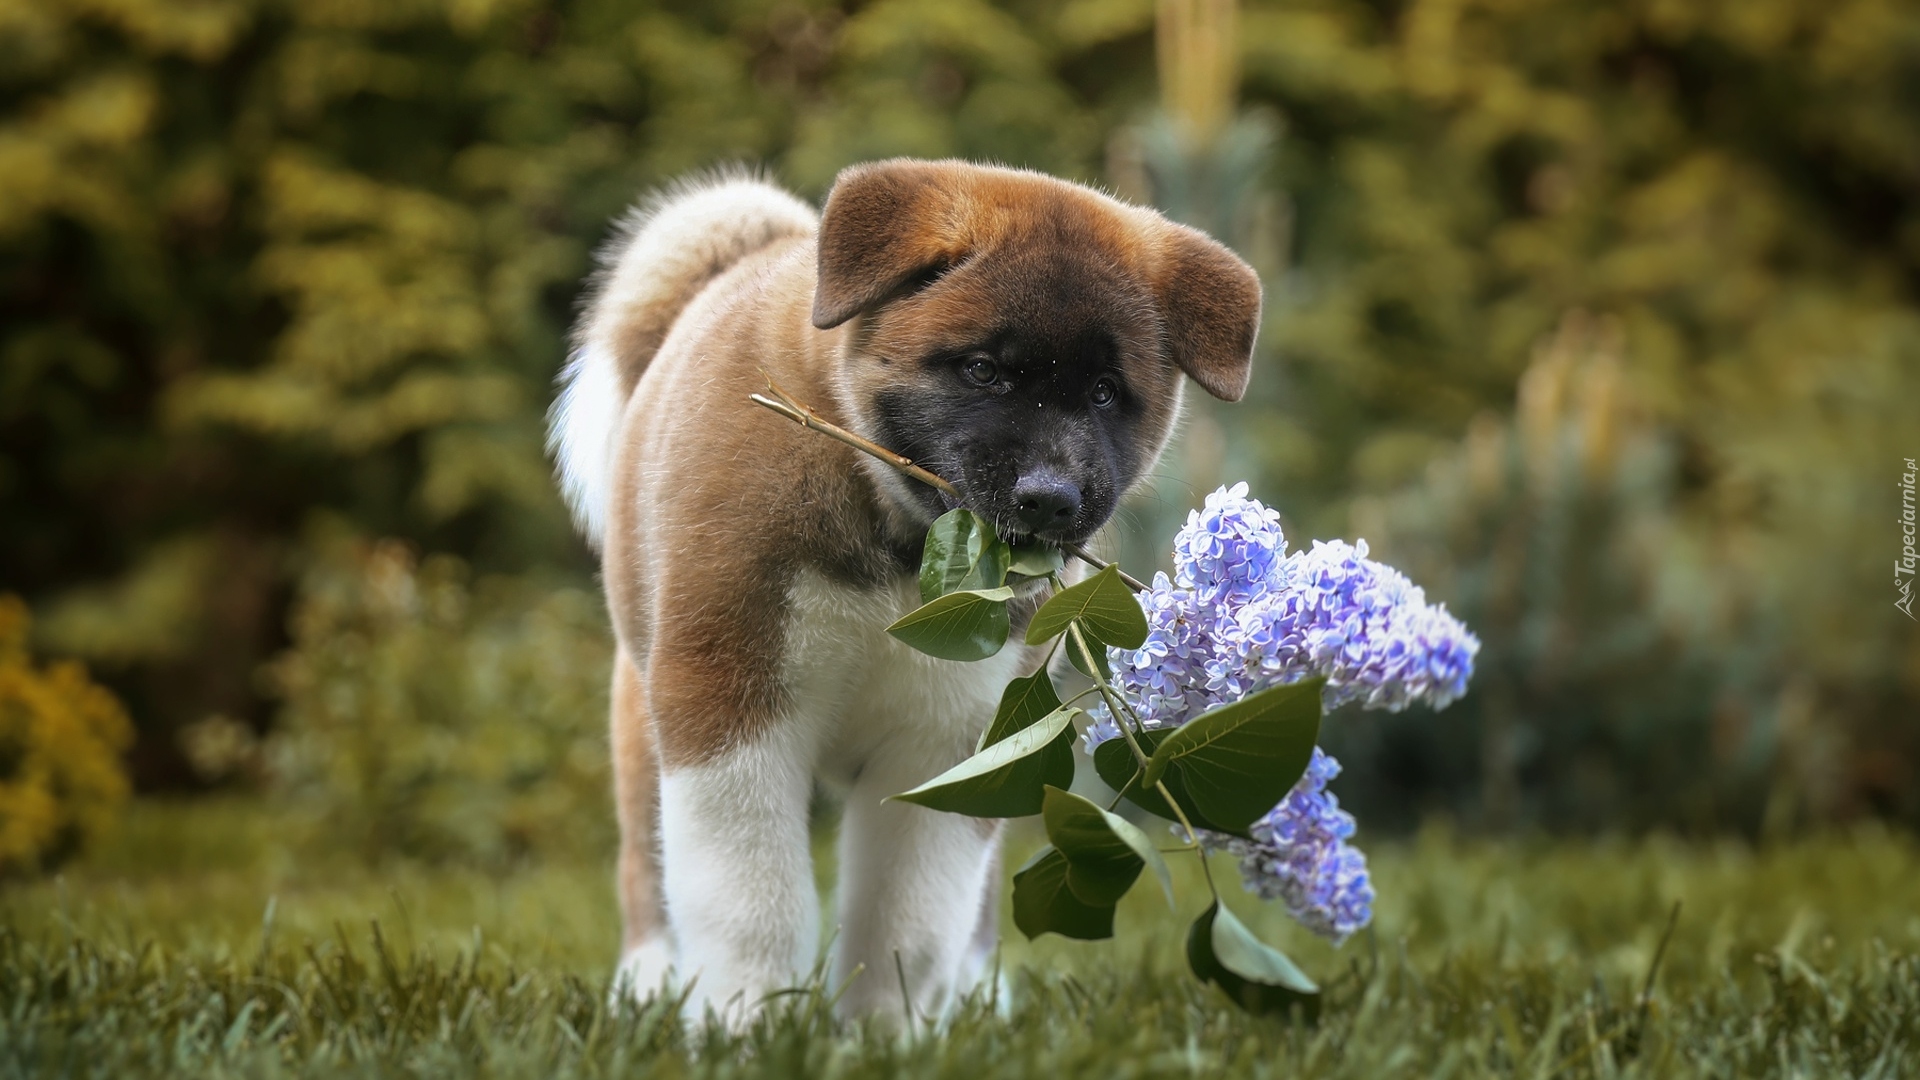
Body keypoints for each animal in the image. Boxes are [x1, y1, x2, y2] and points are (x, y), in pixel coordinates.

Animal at [549, 157, 1259, 1014]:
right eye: (982, 370)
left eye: (1103, 393)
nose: (1051, 498)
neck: (894, 539)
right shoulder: (728, 698)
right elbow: (750, 901)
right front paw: (743, 1021)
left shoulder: (954, 746)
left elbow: (907, 927)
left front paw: (881, 1031)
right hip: (641, 719)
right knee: (646, 873)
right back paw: (650, 986)